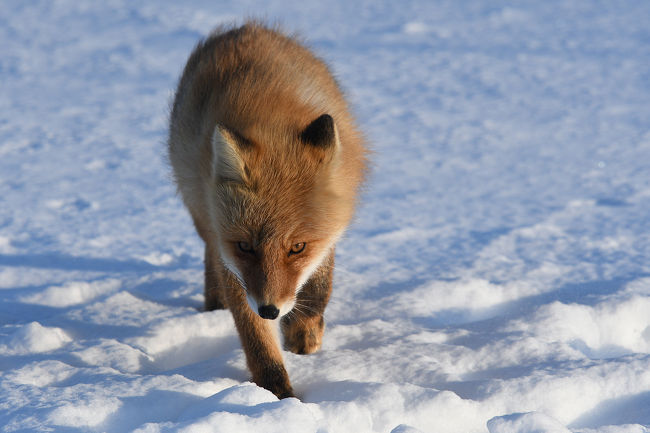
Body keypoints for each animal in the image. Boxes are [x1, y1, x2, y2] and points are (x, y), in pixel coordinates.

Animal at [167, 22, 368, 396]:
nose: (271, 311)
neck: (270, 115)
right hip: (202, 213)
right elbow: (257, 341)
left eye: (298, 247)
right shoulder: (232, 262)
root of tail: (243, 28)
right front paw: (279, 395)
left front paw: (303, 329)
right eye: (245, 246)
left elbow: (321, 279)